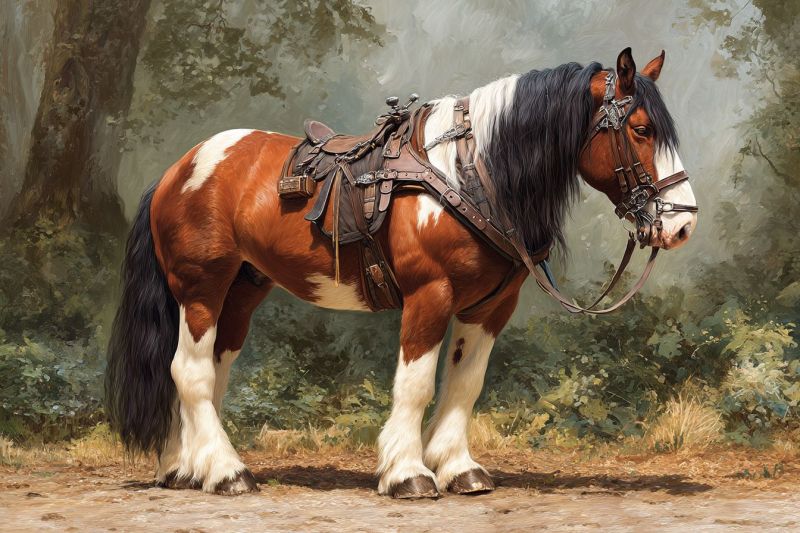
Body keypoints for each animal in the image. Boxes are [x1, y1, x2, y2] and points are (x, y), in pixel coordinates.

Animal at [106, 48, 697, 498]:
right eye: (641, 129)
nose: (682, 223)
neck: (466, 173)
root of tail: (178, 169)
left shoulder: (489, 306)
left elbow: (464, 384)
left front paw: (458, 468)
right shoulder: (429, 295)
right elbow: (415, 384)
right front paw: (408, 473)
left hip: (242, 292)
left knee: (209, 374)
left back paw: (187, 467)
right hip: (201, 288)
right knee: (189, 371)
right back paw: (226, 472)